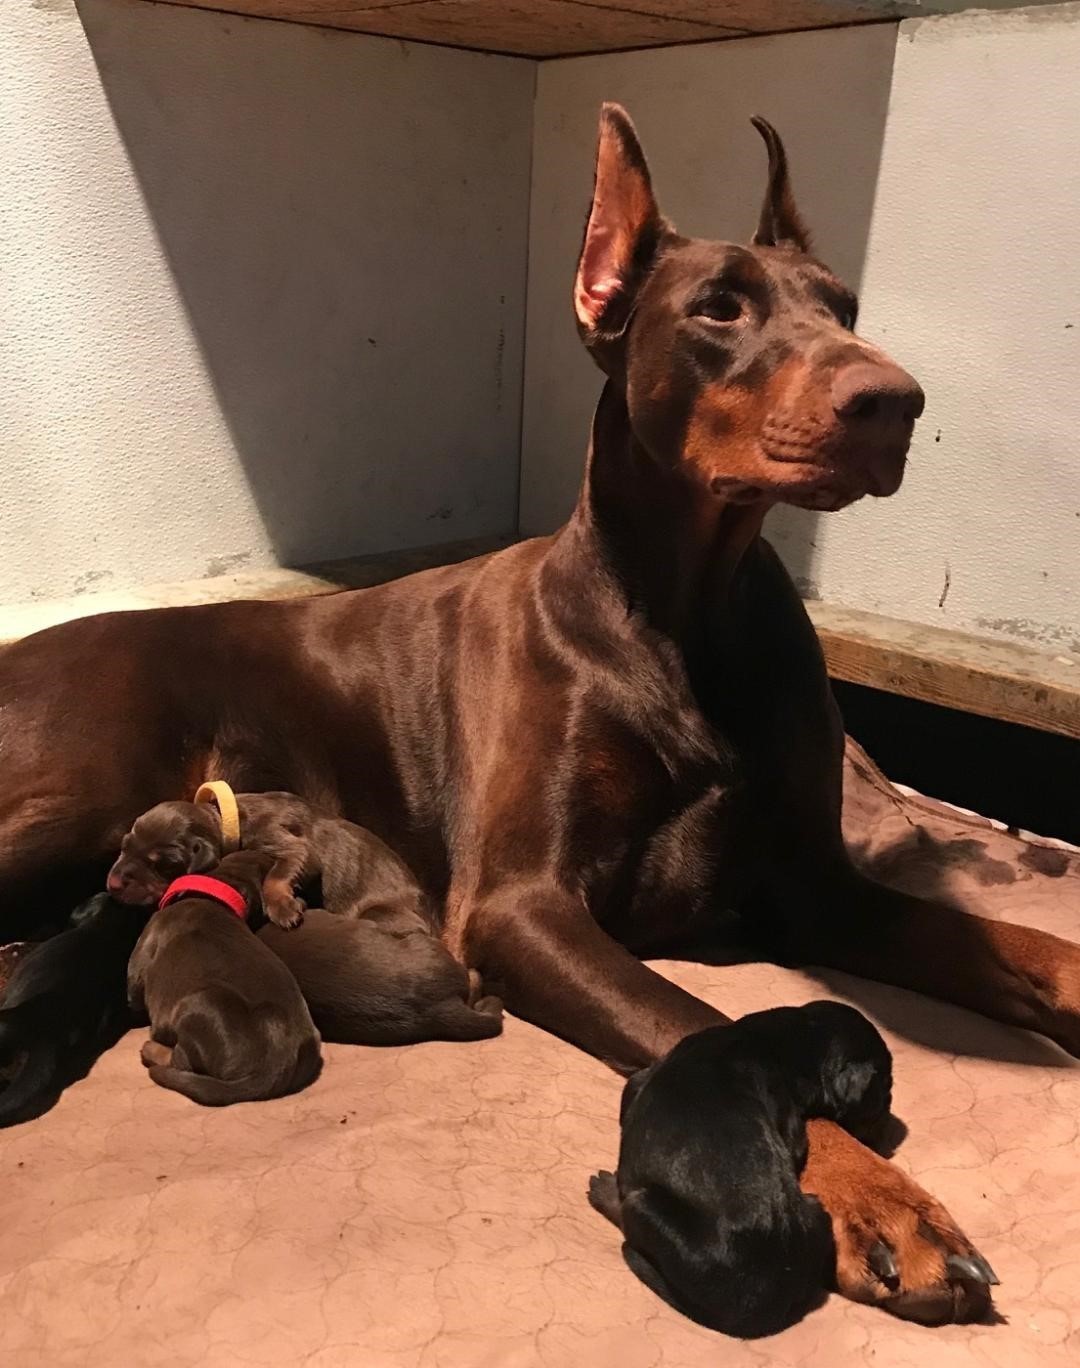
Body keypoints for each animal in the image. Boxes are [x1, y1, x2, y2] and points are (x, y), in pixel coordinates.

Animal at [107, 793, 432, 930]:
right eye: (124, 846)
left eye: (163, 865)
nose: (112, 884)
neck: (223, 819)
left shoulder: (288, 843)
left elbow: (279, 873)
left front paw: (282, 908)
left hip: (380, 913)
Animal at [126, 848, 320, 1105]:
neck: (213, 898)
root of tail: (271, 1071)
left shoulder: (142, 954)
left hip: (197, 1005)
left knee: (181, 1060)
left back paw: (150, 1050)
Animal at [588, 1001, 892, 1340]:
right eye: (886, 1087)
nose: (890, 1115)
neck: (773, 1040)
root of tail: (757, 1306)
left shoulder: (643, 1078)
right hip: (815, 1207)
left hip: (642, 1204)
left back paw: (604, 1190)